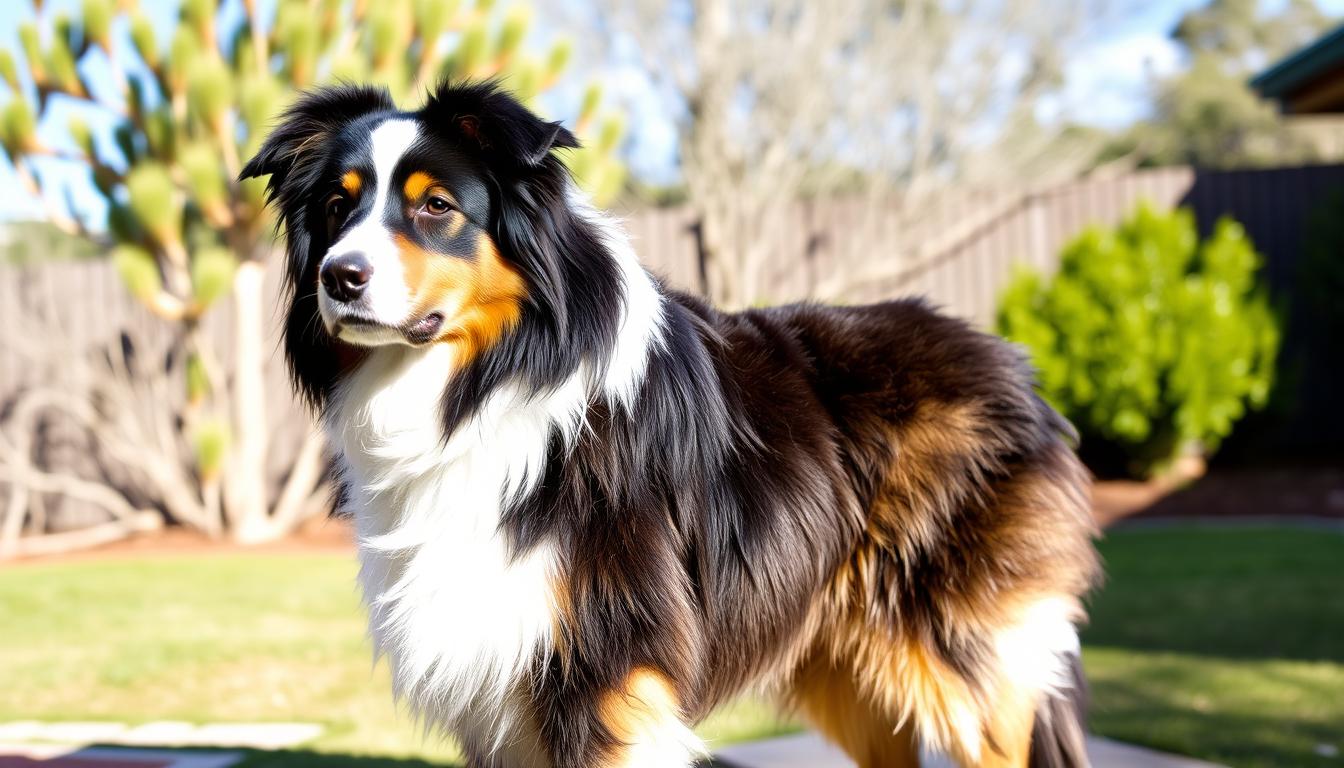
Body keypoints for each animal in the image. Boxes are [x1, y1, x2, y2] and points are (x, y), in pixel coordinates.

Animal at [244, 81, 1102, 763]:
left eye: (436, 206)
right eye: (337, 206)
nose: (339, 278)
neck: (486, 383)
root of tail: (1014, 367)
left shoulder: (605, 670)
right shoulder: (496, 686)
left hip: (961, 656)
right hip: (850, 666)